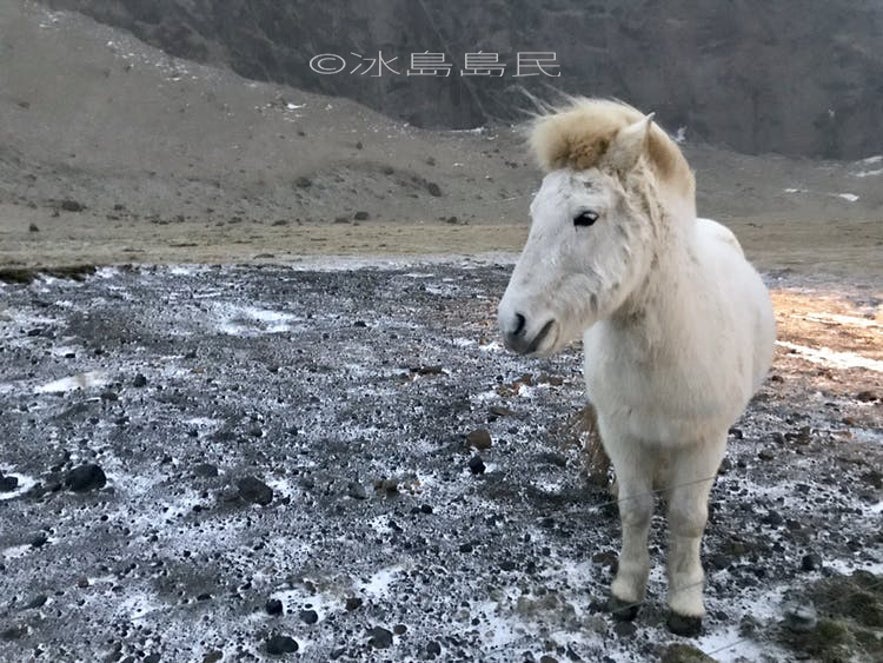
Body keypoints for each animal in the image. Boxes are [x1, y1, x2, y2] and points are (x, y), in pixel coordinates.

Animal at [500, 98, 776, 640]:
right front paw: (627, 593)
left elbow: (689, 518)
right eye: (535, 213)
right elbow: (635, 509)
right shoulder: (622, 434)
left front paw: (685, 604)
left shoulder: (704, 439)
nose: (513, 323)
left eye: (586, 217)